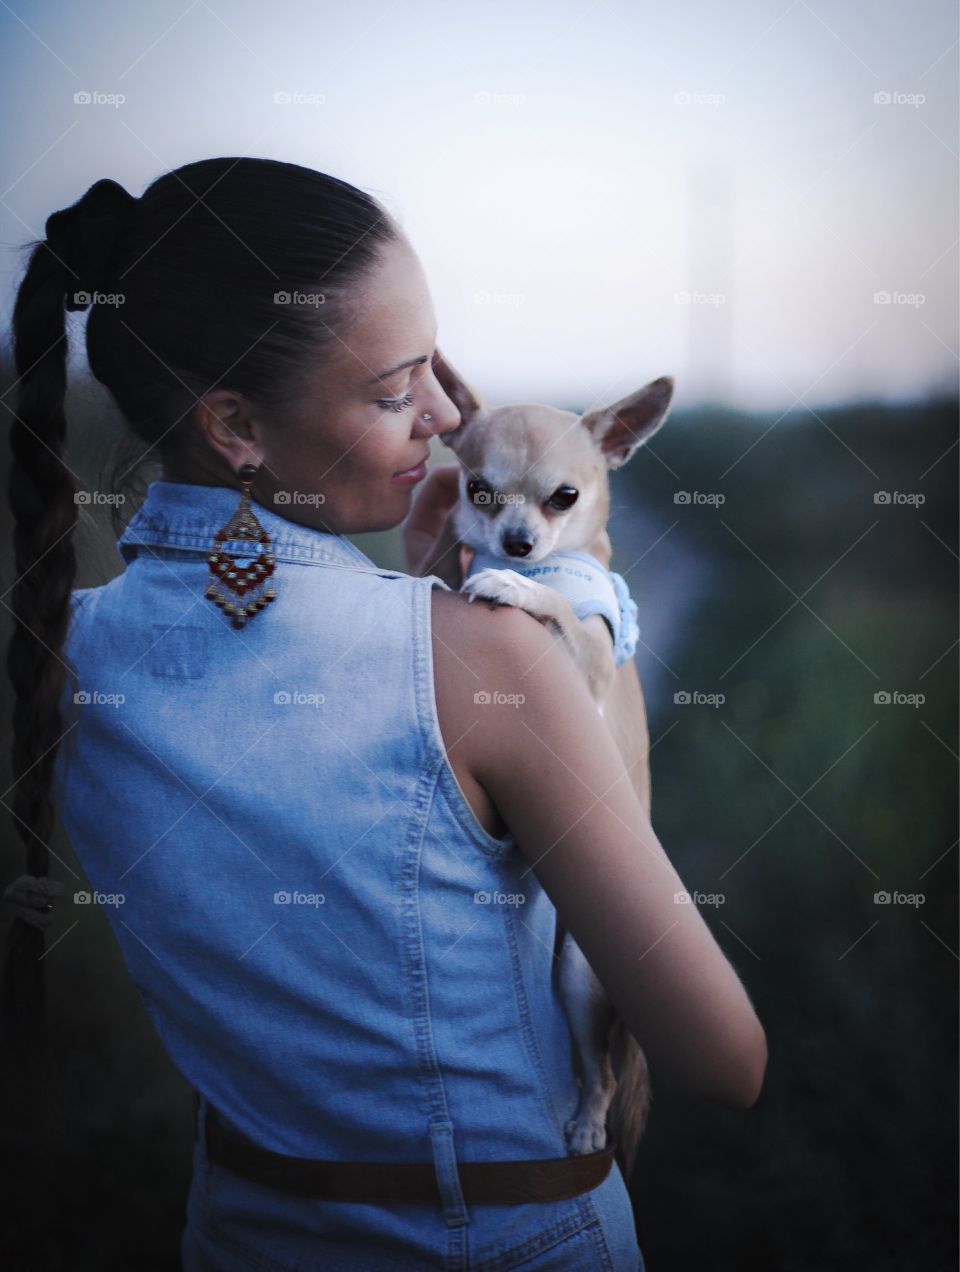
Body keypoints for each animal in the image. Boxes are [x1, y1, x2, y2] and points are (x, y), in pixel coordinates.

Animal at [419, 351, 676, 1180]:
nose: (519, 542)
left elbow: (559, 609)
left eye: (566, 496)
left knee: (598, 1075)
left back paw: (588, 1126)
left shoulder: (589, 659)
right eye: (478, 490)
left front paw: (511, 586)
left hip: (582, 978)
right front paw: (462, 567)